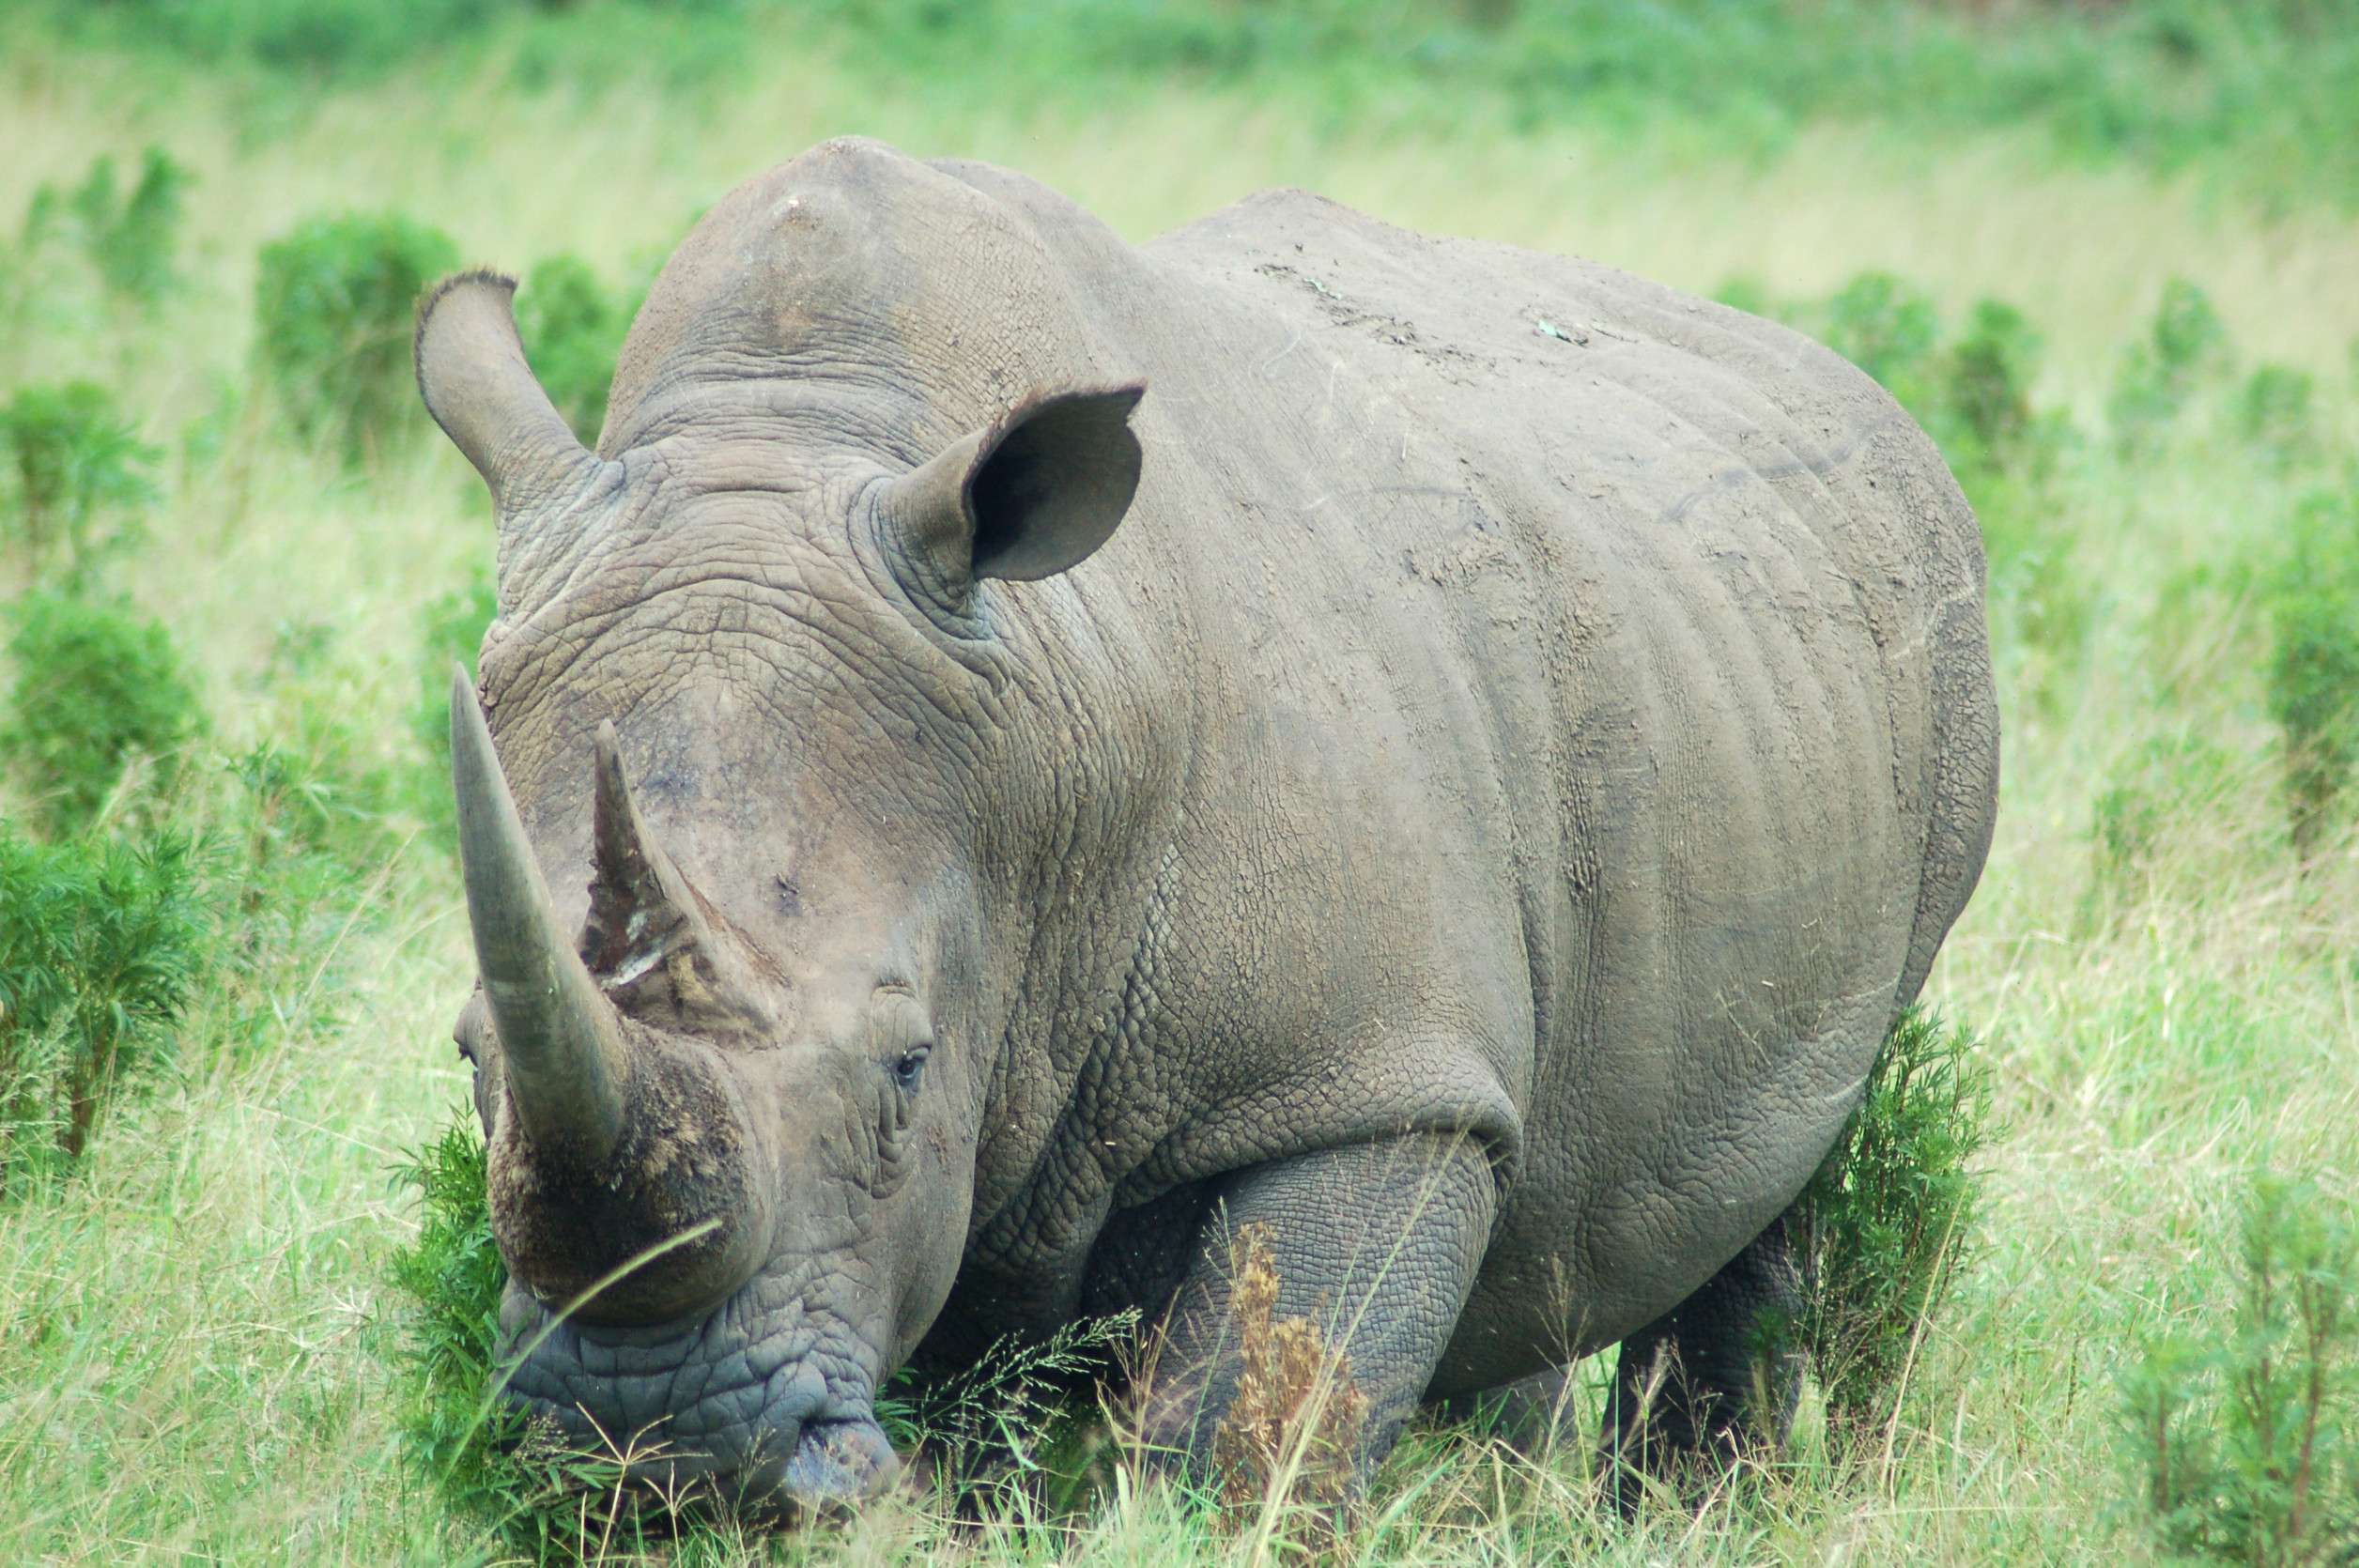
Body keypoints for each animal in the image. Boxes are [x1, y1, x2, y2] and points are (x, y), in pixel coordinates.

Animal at [415, 136, 1997, 1515]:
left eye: (908, 1068)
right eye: (475, 1056)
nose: (652, 1451)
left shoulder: (1368, 1075)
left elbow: (1247, 1441)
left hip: (1931, 641)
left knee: (1783, 1167)